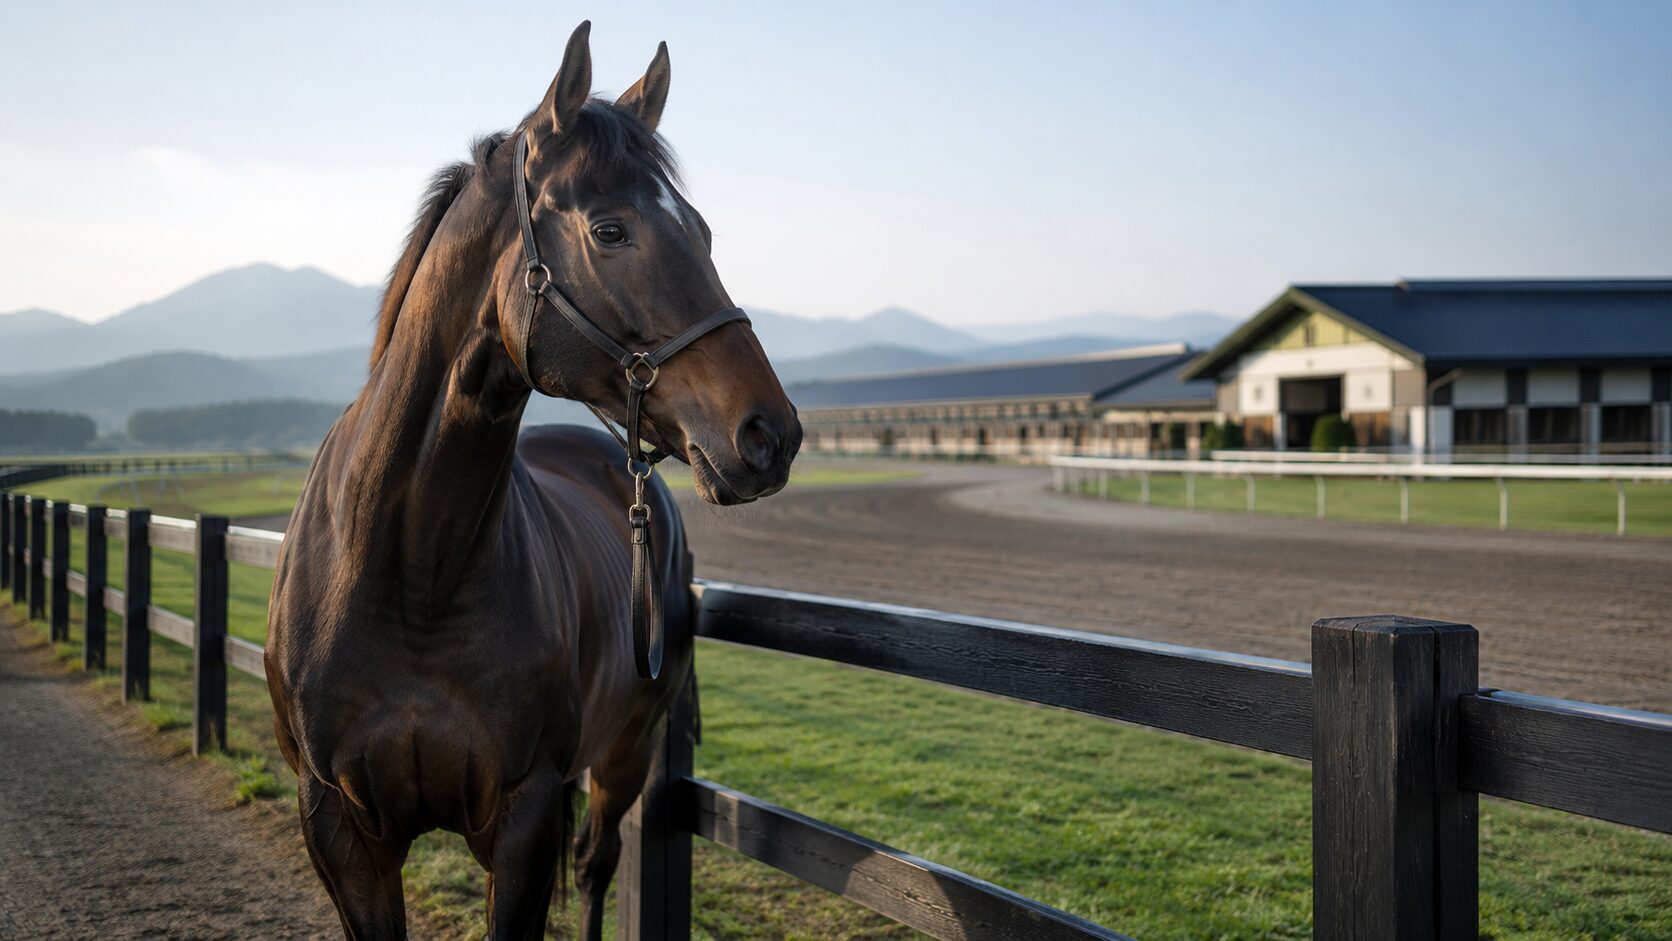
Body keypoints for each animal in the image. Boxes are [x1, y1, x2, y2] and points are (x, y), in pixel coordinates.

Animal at [265, 22, 800, 940]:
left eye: (699, 228)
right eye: (611, 230)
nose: (770, 433)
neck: (411, 570)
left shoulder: (522, 818)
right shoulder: (337, 826)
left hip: (624, 749)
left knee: (594, 863)